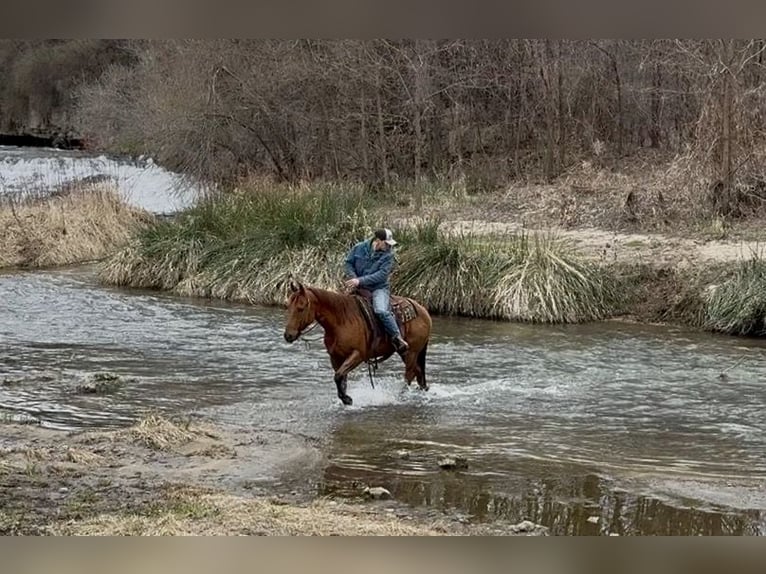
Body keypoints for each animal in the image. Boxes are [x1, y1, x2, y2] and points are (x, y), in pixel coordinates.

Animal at [283, 280, 432, 406]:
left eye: (301, 307)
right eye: (288, 307)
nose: (288, 335)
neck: (340, 322)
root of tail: (423, 310)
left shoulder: (358, 355)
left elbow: (338, 376)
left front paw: (347, 399)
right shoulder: (335, 357)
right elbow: (341, 379)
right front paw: (344, 399)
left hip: (412, 351)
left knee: (409, 374)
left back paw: (399, 396)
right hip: (405, 352)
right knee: (418, 372)